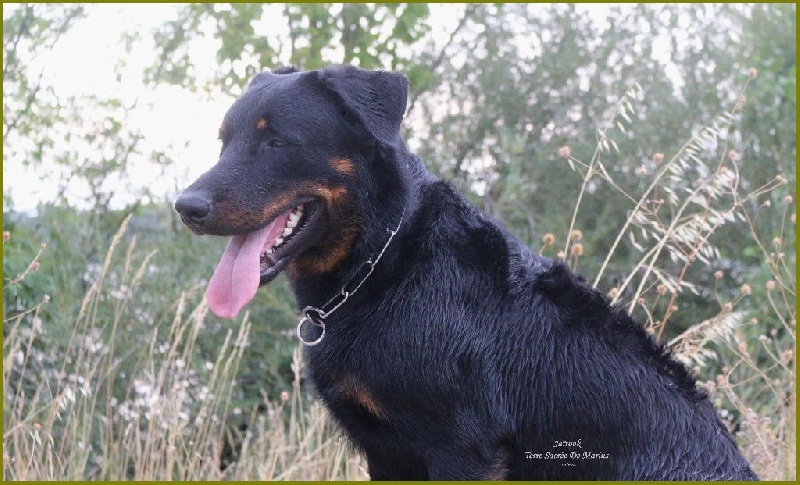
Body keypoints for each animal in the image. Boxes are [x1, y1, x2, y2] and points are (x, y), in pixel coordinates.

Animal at [175, 66, 756, 478]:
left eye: (277, 142)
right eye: (224, 141)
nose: (185, 206)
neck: (385, 264)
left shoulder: (461, 447)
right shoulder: (385, 451)